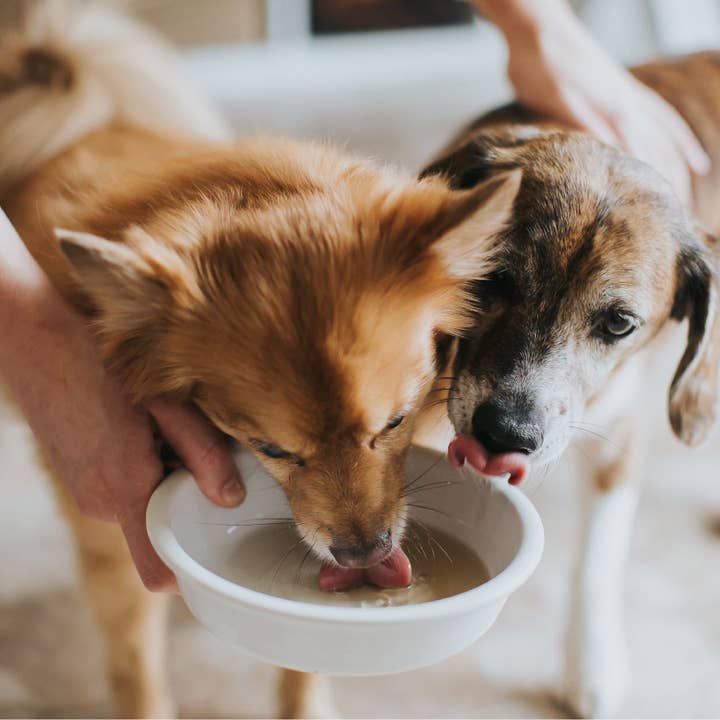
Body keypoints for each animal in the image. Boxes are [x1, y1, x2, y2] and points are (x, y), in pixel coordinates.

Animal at [0, 2, 520, 716]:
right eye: (270, 450)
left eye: (395, 423)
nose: (363, 554)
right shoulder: (111, 529)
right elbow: (137, 668)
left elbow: (301, 661)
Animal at [422, 53, 720, 716]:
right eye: (493, 277)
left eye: (619, 323)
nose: (504, 433)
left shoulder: (619, 439)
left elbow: (596, 562)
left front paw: (593, 665)